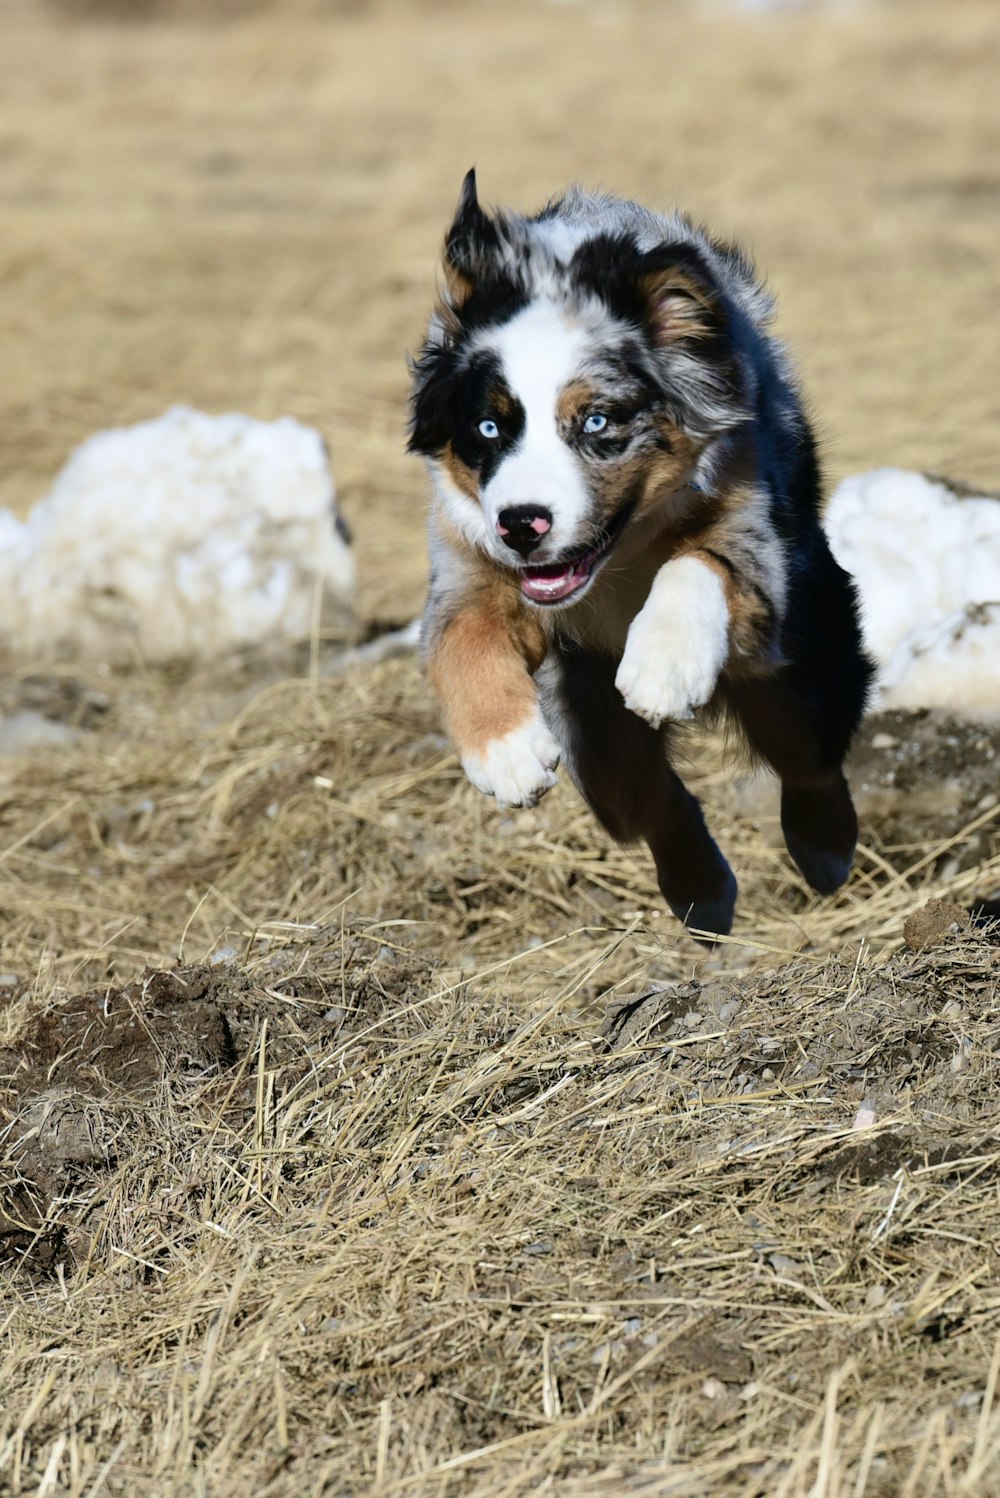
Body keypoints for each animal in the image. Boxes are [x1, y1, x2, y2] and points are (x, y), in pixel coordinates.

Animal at [404, 175, 868, 934]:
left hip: (798, 665)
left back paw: (825, 848)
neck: (617, 558)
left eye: (596, 421)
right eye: (489, 427)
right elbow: (462, 637)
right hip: (591, 727)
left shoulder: (755, 538)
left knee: (810, 755)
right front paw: (506, 754)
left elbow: (698, 563)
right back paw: (702, 891)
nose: (522, 525)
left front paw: (664, 667)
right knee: (648, 800)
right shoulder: (467, 558)